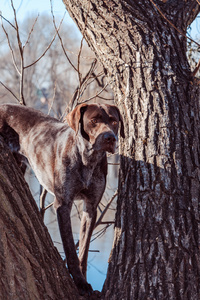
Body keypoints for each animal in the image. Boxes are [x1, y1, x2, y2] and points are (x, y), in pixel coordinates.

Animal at [0, 103, 124, 296]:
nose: (110, 137)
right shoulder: (63, 205)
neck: (88, 159)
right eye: (94, 120)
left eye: (114, 121)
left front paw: (84, 279)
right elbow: (71, 251)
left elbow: (83, 251)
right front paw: (80, 283)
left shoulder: (91, 207)